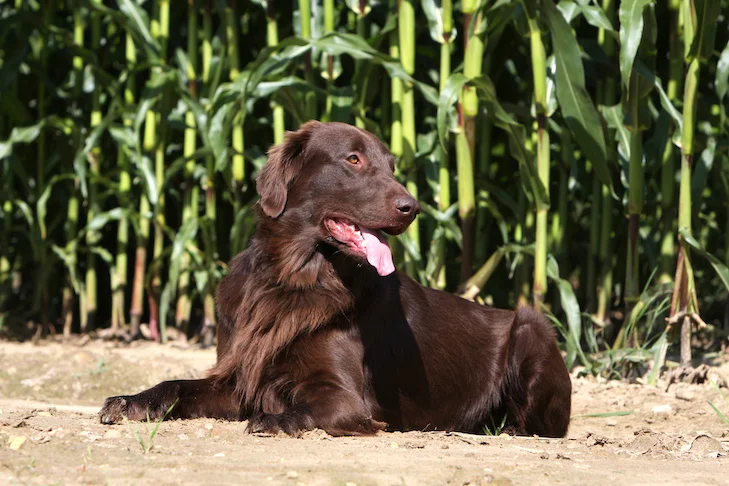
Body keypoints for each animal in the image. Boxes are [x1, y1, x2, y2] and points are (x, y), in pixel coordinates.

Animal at [99, 120, 572, 436]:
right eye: (353, 159)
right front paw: (129, 401)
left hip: (531, 326)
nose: (412, 207)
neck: (295, 276)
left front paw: (272, 418)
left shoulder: (347, 399)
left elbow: (299, 408)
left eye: (390, 166)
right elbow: (177, 385)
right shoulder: (243, 372)